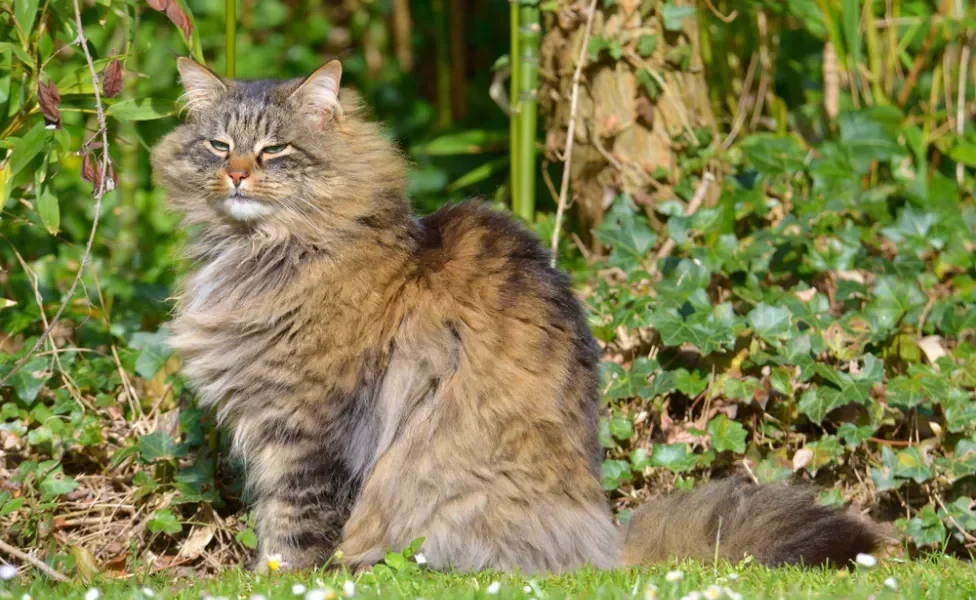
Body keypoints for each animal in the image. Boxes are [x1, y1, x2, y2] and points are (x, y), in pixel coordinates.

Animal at [151, 58, 876, 576]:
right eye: (218, 146)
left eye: (274, 152)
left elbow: (295, 528)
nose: (237, 176)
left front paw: (277, 579)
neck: (262, 251)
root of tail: (605, 543)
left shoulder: (309, 428)